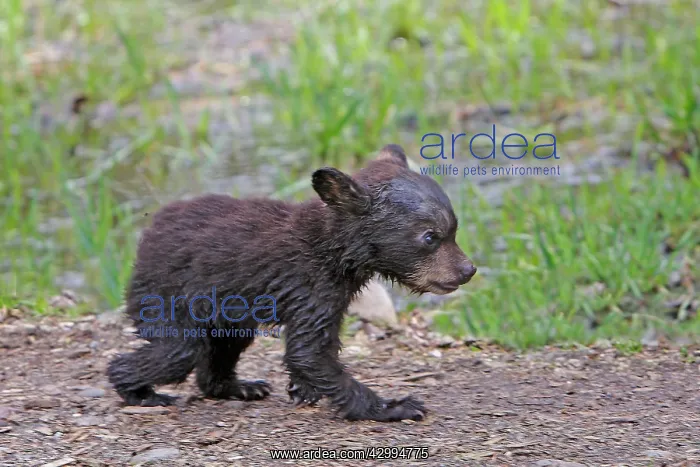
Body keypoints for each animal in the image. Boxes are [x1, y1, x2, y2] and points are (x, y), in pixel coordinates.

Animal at [106, 143, 477, 422]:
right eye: (430, 236)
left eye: (455, 229)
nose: (467, 270)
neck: (335, 251)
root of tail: (145, 237)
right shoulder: (311, 286)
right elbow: (309, 352)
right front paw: (395, 406)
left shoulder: (332, 293)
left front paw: (303, 389)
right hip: (167, 295)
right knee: (177, 350)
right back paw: (138, 390)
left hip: (225, 310)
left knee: (227, 342)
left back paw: (241, 387)